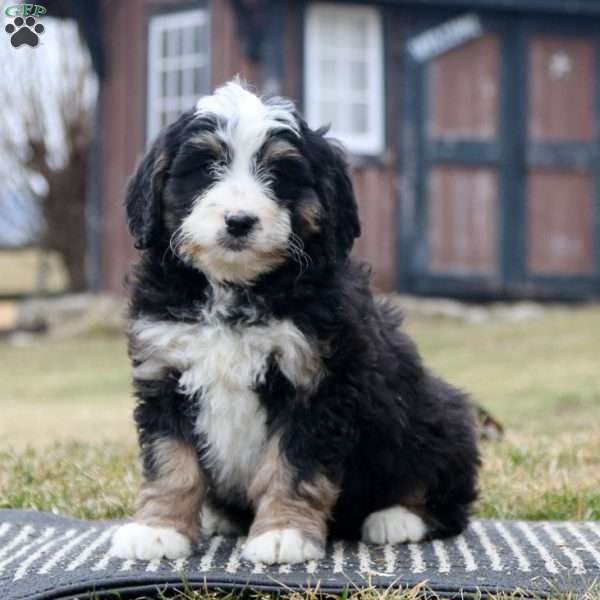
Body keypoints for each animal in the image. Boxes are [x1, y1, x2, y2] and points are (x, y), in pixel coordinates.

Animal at [111, 81, 478, 568]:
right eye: (206, 168)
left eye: (279, 174)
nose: (239, 221)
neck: (235, 288)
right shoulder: (164, 372)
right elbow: (170, 461)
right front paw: (159, 529)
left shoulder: (316, 381)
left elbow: (293, 466)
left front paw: (283, 533)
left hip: (439, 415)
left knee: (446, 492)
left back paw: (397, 517)